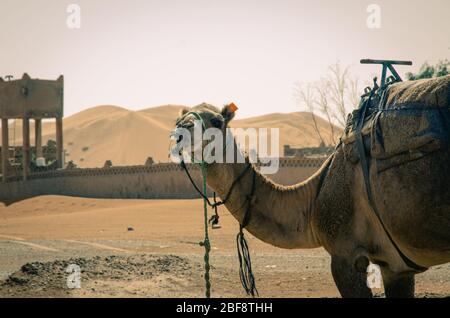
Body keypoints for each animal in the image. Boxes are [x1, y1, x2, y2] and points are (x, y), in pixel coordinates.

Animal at [173, 78, 450, 296]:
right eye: (180, 118)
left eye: (217, 120)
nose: (180, 131)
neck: (314, 196)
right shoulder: (395, 267)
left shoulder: (346, 255)